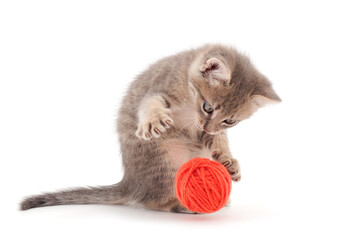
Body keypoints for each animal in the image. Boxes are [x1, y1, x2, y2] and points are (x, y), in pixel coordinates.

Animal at [21, 45, 282, 214]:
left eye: (230, 121)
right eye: (208, 107)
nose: (207, 125)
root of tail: (130, 182)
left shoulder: (207, 132)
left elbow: (218, 141)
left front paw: (229, 160)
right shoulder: (159, 89)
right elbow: (150, 104)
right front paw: (153, 120)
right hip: (167, 156)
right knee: (155, 201)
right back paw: (182, 206)